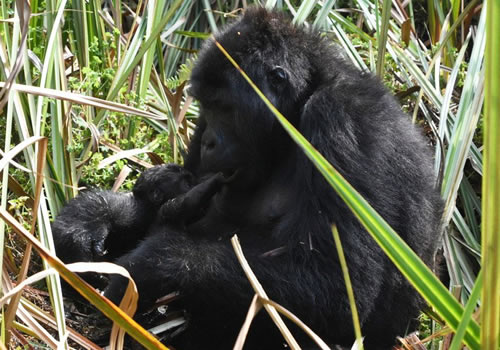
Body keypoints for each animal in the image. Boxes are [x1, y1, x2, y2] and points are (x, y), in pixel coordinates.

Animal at [53, 6, 442, 348]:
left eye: (226, 107)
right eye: (206, 106)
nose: (209, 142)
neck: (296, 110)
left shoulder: (342, 124)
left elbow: (340, 293)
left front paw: (149, 267)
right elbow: (167, 196)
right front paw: (92, 218)